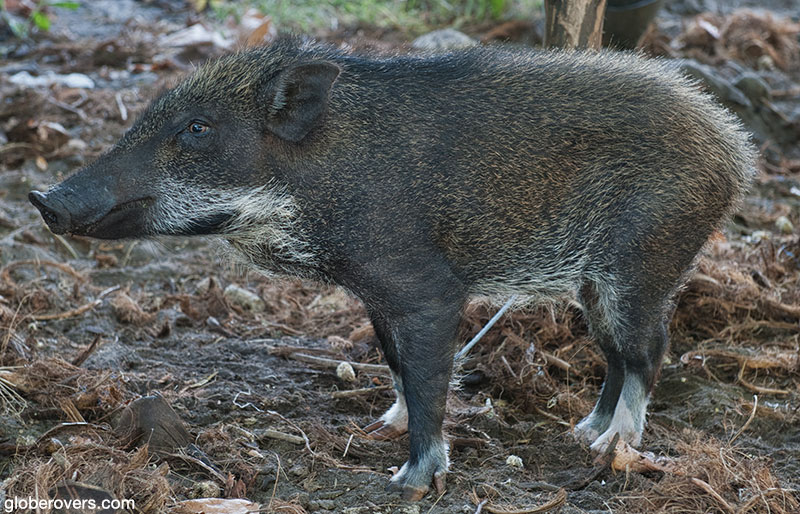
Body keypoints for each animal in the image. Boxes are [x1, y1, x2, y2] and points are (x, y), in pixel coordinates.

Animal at [29, 37, 755, 500]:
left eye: (199, 129)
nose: (42, 198)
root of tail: (733, 147)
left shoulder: (428, 289)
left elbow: (432, 375)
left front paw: (409, 481)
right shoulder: (375, 294)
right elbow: (397, 364)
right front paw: (381, 428)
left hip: (640, 262)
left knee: (649, 350)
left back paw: (613, 450)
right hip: (594, 283)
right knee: (614, 354)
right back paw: (584, 435)